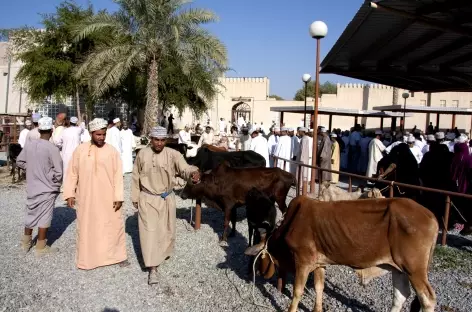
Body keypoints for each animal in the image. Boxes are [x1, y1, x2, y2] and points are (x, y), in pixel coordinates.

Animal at [247, 196, 438, 310]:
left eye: (261, 257)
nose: (259, 273)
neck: (291, 222)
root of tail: (431, 216)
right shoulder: (319, 263)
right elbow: (319, 287)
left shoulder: (303, 261)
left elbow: (297, 292)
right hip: (399, 269)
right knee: (400, 295)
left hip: (414, 269)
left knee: (427, 299)